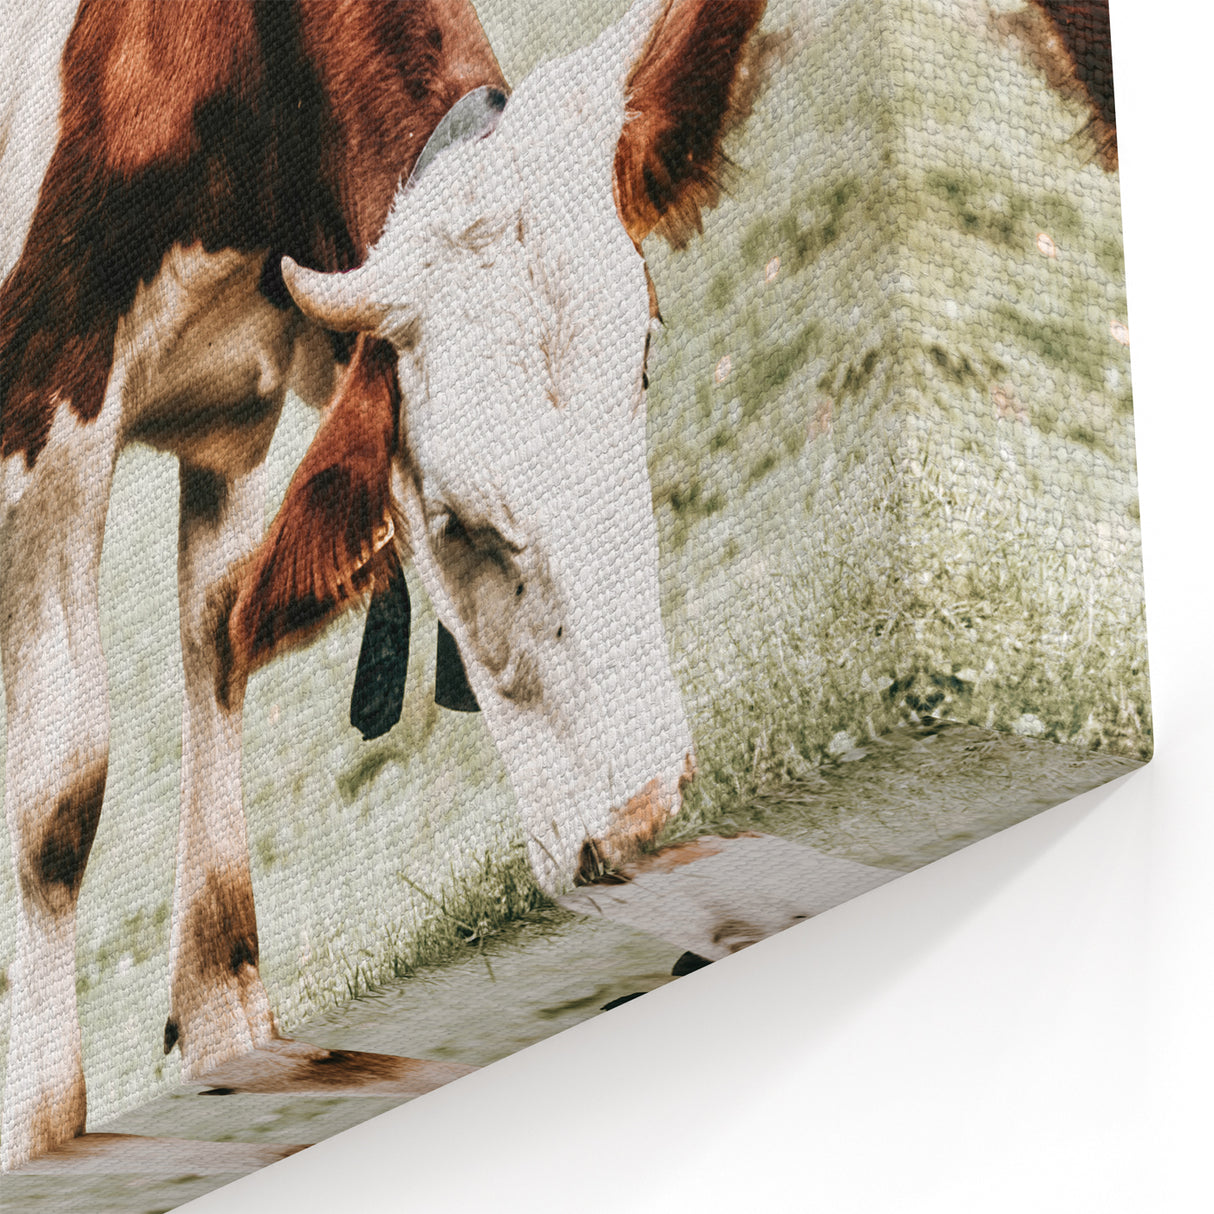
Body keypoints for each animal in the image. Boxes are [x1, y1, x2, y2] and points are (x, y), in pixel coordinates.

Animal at [0, 0, 766, 1171]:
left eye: (641, 372)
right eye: (458, 517)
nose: (648, 813)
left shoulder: (234, 408)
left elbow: (218, 644)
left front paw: (228, 1019)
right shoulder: (46, 420)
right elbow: (59, 794)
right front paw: (44, 1125)